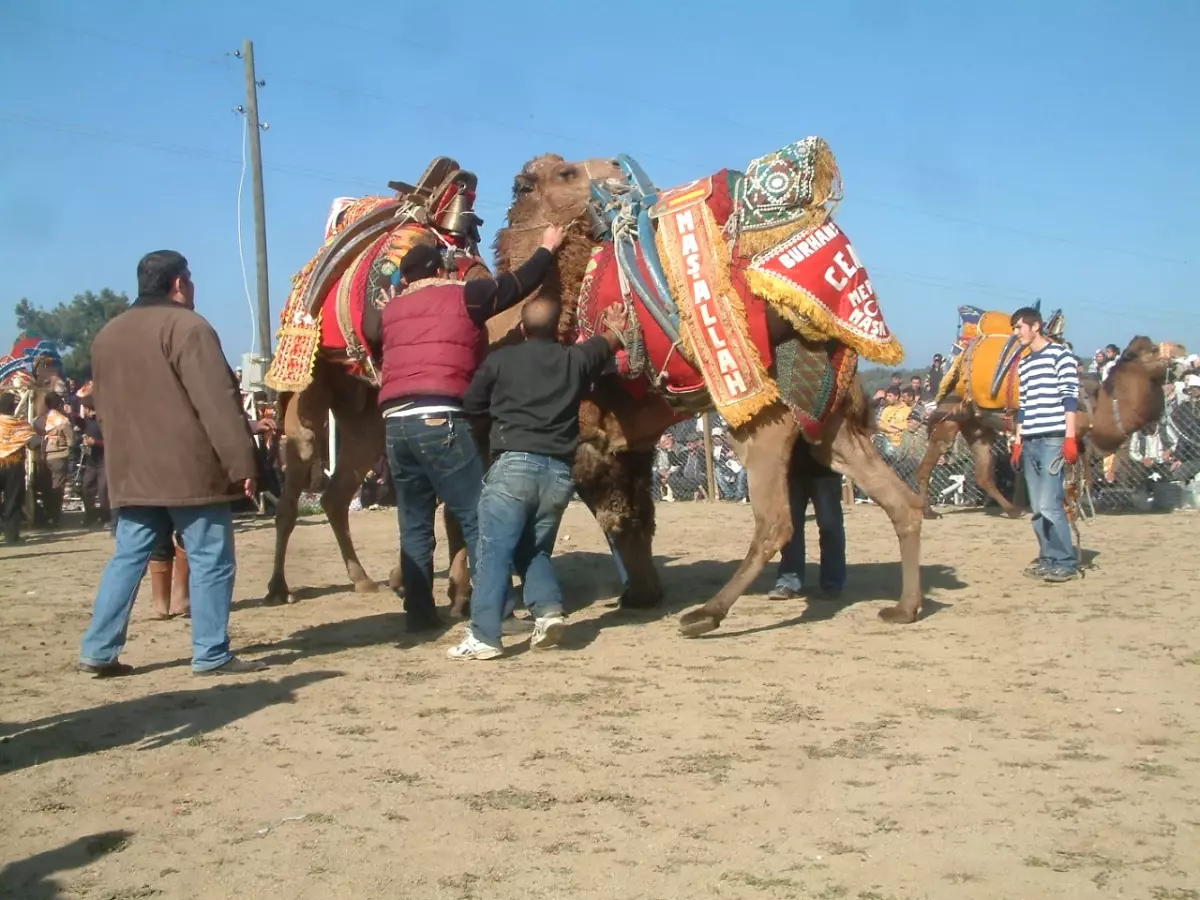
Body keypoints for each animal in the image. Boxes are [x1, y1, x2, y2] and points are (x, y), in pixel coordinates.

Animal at [482, 142, 931, 633]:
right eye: (565, 173)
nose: (619, 168)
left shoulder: (589, 441)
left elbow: (611, 516)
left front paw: (637, 597)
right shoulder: (628, 444)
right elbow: (633, 517)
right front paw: (640, 596)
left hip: (762, 415)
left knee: (776, 521)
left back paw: (707, 615)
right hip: (824, 416)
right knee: (899, 501)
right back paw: (905, 607)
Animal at [916, 307, 1190, 518]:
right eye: (1153, 350)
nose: (1181, 347)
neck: (1094, 405)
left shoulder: (1076, 439)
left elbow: (1076, 477)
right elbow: (1063, 476)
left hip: (978, 427)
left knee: (983, 471)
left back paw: (1013, 510)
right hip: (949, 416)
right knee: (930, 459)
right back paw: (928, 511)